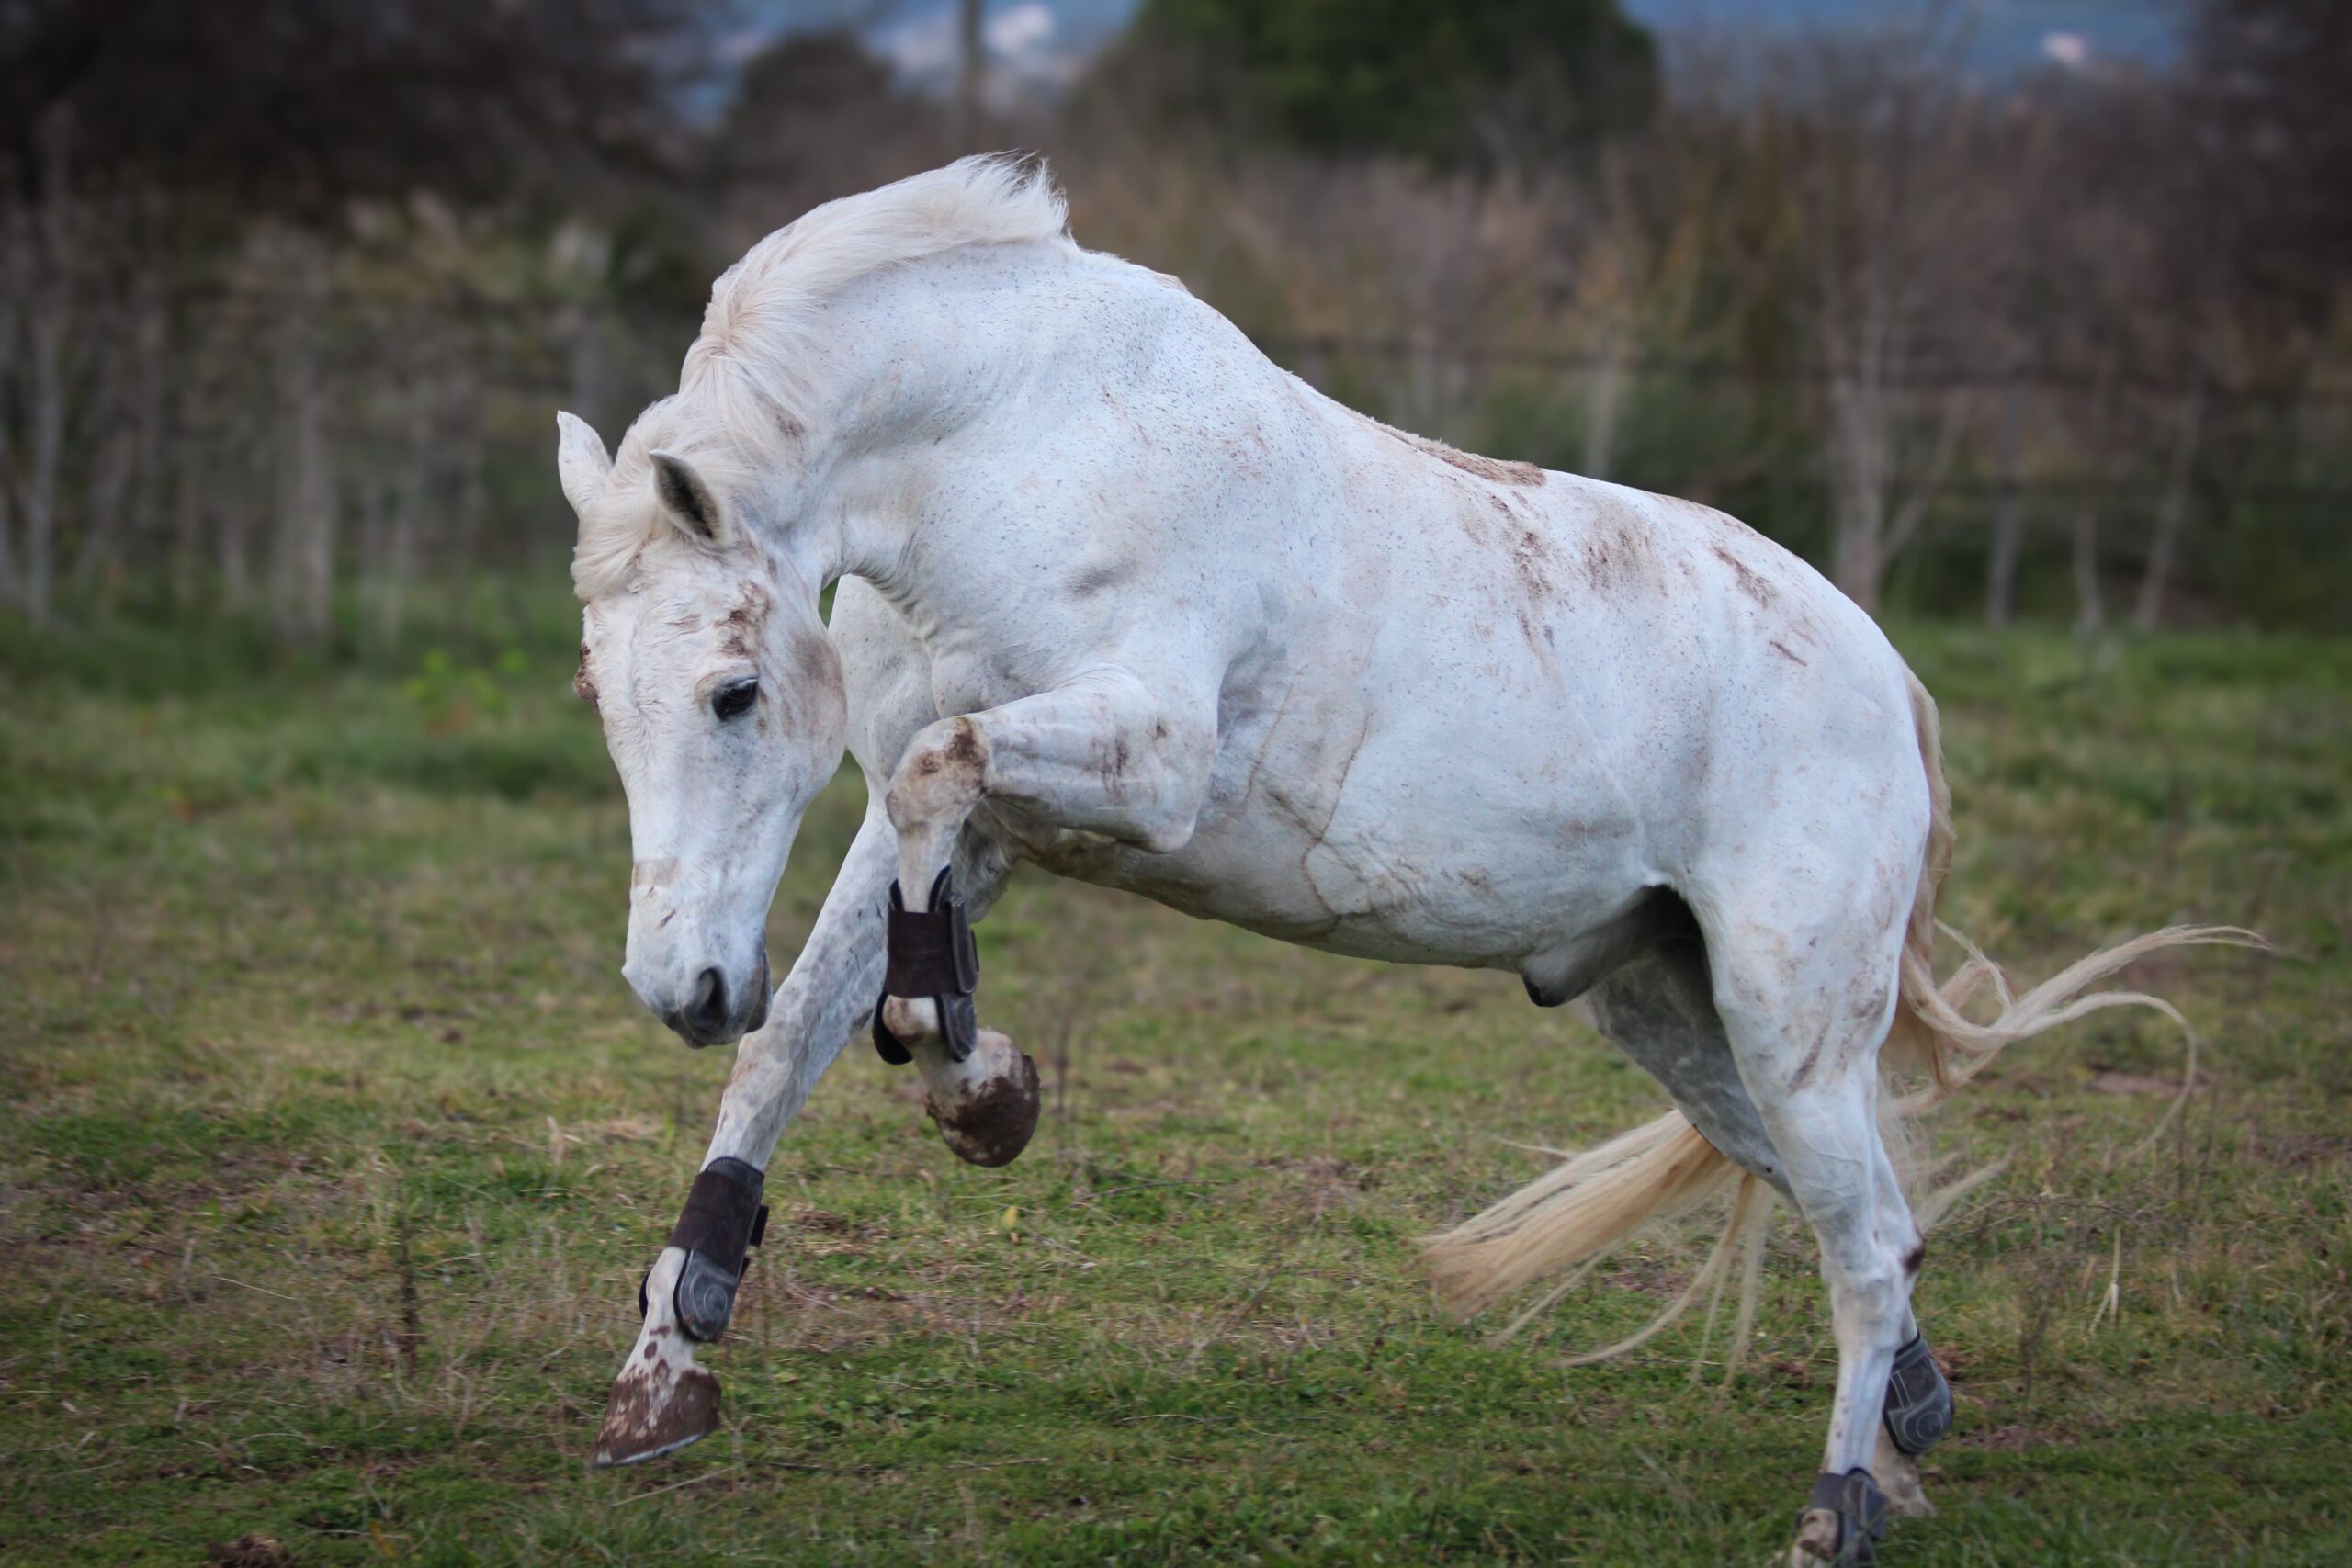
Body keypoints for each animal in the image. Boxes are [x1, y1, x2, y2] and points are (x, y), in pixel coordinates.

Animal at [555, 162, 2239, 1568]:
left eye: (731, 694)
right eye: (605, 699)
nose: (675, 983)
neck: (1014, 448)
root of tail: (1886, 672)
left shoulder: (1137, 760)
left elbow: (919, 860)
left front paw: (982, 1092)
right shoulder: (973, 830)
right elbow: (799, 1034)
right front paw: (666, 1368)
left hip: (1789, 1014)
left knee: (1869, 1240)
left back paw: (1838, 1510)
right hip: (1678, 1014)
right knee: (1859, 1215)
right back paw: (1908, 1439)